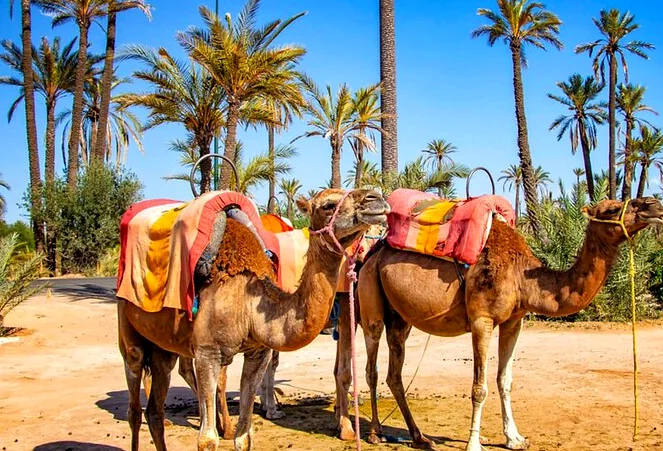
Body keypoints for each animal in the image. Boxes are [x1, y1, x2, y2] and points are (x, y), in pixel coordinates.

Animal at [117, 188, 389, 451]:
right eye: (328, 205)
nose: (376, 198)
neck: (246, 303)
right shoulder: (207, 352)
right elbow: (207, 440)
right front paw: (344, 428)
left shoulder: (258, 352)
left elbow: (244, 437)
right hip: (130, 332)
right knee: (134, 404)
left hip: (163, 347)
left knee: (155, 408)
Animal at [332, 197, 663, 451]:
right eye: (612, 208)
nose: (654, 205)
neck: (522, 276)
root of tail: (371, 252)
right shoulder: (482, 319)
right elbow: (479, 387)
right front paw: (474, 444)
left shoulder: (514, 321)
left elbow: (505, 380)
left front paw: (515, 438)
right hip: (371, 302)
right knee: (372, 367)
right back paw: (375, 433)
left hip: (400, 317)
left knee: (395, 373)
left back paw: (420, 437)